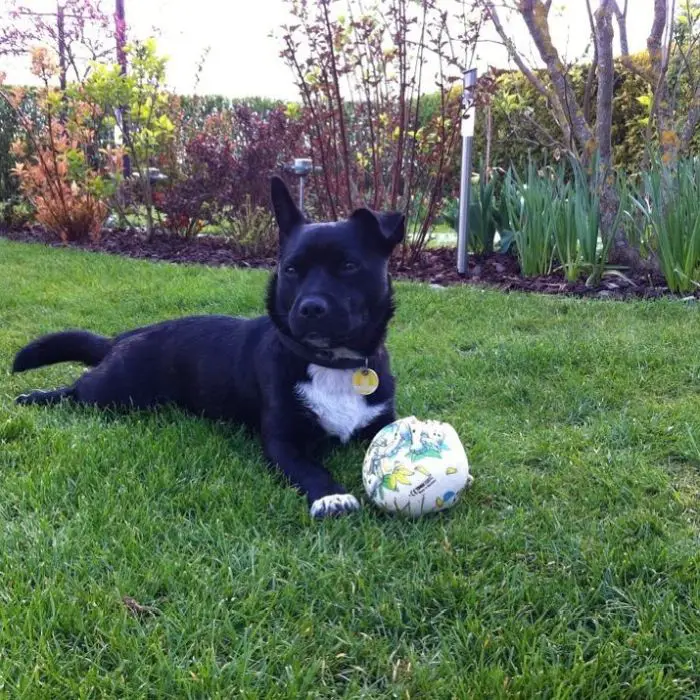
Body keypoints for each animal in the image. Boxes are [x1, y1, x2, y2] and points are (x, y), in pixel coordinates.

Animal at [12, 178, 404, 516]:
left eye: (349, 265)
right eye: (291, 270)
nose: (309, 309)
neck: (331, 364)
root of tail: (124, 335)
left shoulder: (382, 422)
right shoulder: (283, 441)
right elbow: (309, 468)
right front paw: (331, 496)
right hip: (113, 392)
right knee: (76, 390)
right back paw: (36, 397)